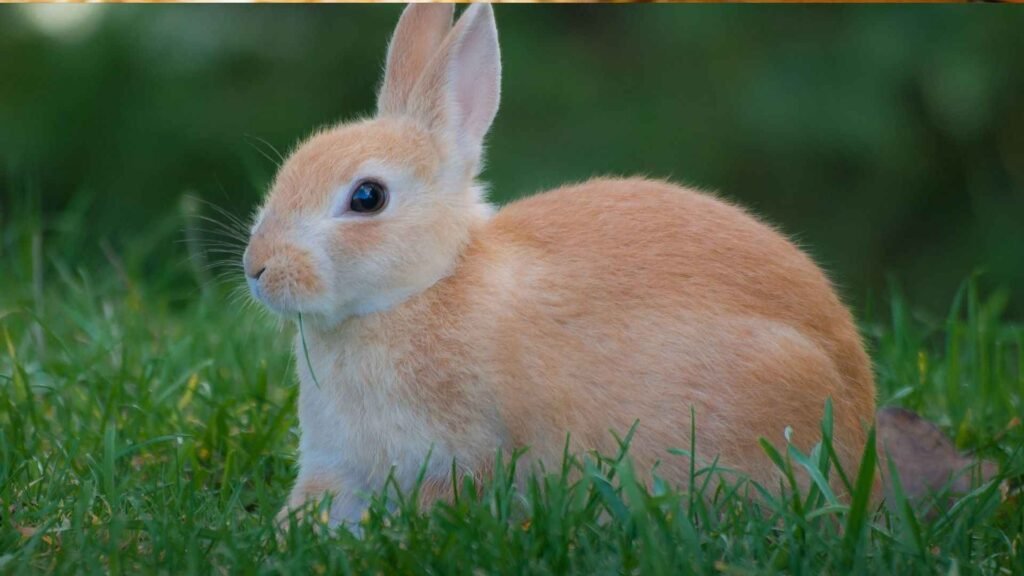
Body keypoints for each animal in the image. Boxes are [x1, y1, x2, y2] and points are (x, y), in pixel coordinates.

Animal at [243, 3, 878, 528]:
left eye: (367, 197)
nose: (257, 268)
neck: (426, 285)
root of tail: (859, 414)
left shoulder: (460, 454)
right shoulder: (338, 462)